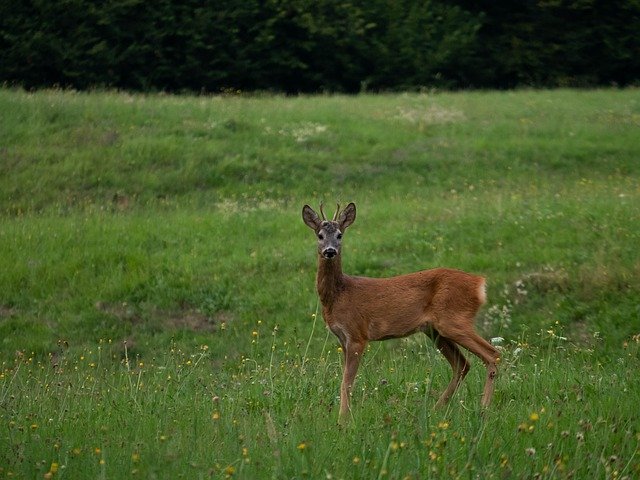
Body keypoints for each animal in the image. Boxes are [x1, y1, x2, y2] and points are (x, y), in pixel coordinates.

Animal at [302, 202, 502, 424]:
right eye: (320, 235)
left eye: (339, 235)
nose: (330, 251)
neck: (339, 294)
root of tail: (479, 283)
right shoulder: (342, 338)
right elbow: (346, 380)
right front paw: (345, 417)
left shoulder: (357, 334)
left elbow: (346, 382)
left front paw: (343, 421)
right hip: (434, 330)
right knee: (462, 364)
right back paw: (435, 409)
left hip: (454, 320)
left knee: (493, 354)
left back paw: (483, 409)